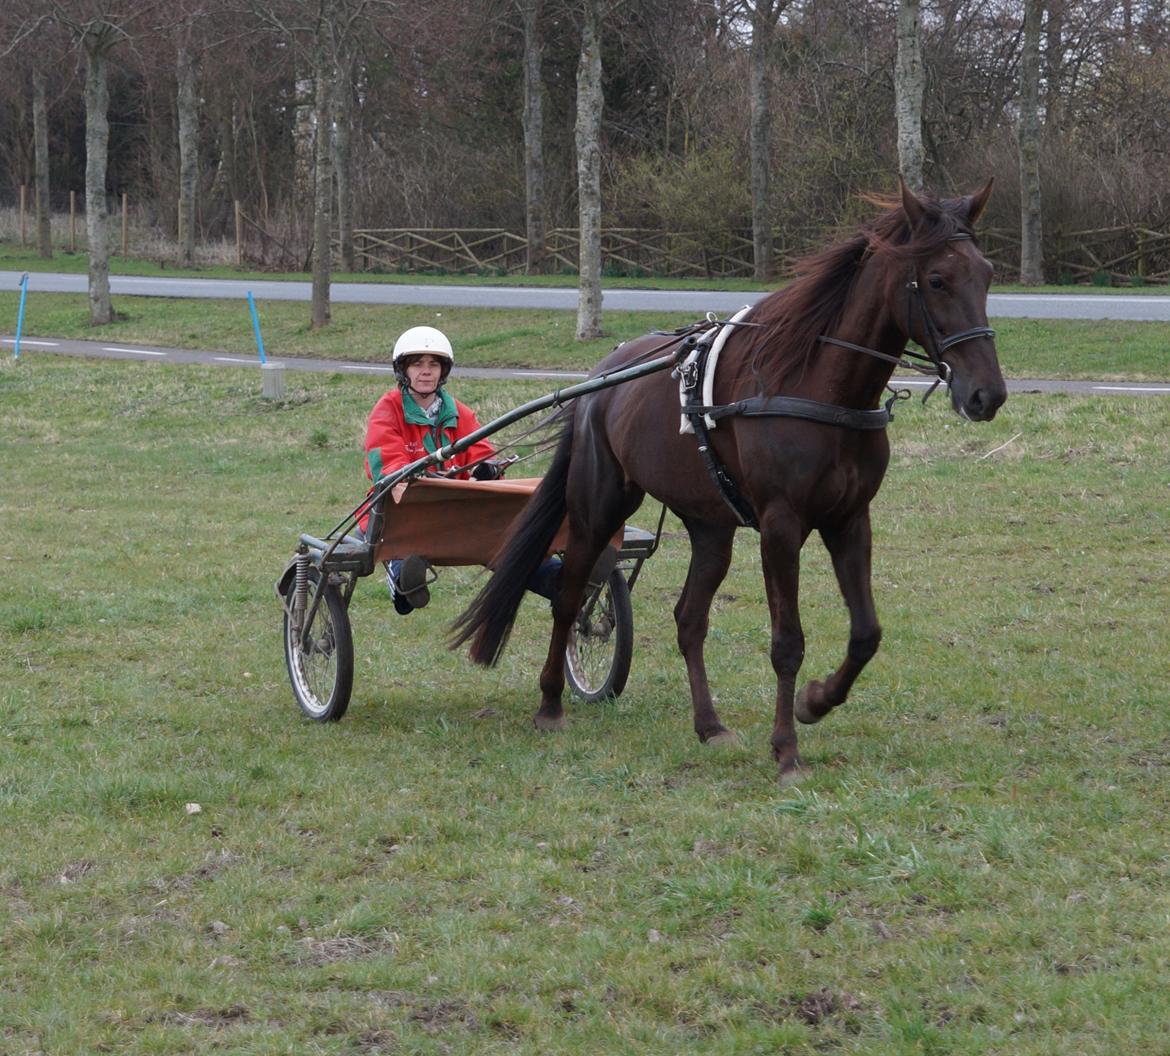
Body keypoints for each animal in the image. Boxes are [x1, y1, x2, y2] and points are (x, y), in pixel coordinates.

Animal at [446, 177, 1006, 781]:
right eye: (937, 280)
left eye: (987, 274)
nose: (988, 394)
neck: (818, 385)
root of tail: (601, 377)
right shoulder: (782, 525)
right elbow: (787, 642)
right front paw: (786, 749)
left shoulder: (850, 519)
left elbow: (866, 634)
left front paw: (815, 702)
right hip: (599, 505)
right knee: (571, 597)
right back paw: (551, 702)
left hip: (710, 526)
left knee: (689, 619)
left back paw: (708, 724)